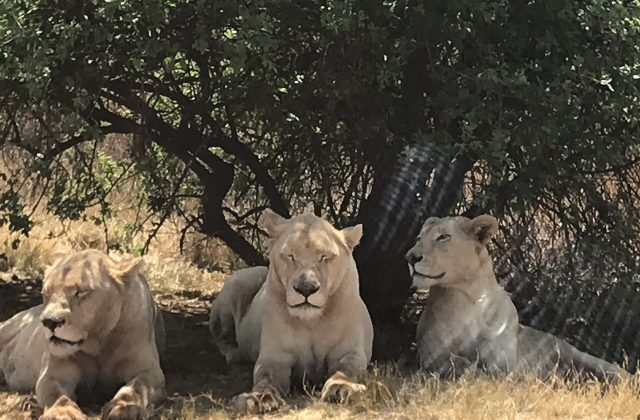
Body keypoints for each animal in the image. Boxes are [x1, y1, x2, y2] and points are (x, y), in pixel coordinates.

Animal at [0, 249, 166, 420]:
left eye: (80, 292)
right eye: (46, 293)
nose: (49, 322)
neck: (99, 344)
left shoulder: (149, 370)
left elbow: (137, 387)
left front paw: (125, 408)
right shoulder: (54, 374)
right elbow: (57, 396)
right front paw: (63, 413)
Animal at [209, 210, 373, 414]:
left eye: (325, 256)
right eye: (290, 255)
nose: (306, 288)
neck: (312, 321)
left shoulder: (350, 351)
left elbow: (346, 370)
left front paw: (342, 388)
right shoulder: (275, 357)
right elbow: (265, 378)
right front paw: (259, 398)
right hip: (243, 279)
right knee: (221, 337)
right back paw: (235, 354)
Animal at [405, 215, 628, 382]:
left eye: (443, 237)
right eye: (418, 238)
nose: (410, 257)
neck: (470, 297)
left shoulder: (503, 355)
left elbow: (496, 369)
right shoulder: (431, 349)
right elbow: (455, 363)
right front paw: (472, 370)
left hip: (575, 353)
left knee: (610, 370)